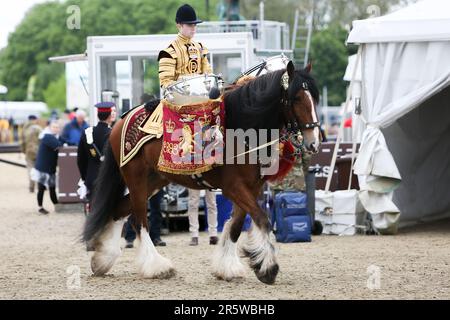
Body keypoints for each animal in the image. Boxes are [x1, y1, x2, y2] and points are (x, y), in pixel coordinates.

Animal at [81, 60, 320, 284]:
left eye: (315, 99)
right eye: (297, 98)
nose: (314, 142)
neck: (242, 128)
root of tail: (121, 120)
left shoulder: (252, 188)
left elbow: (236, 227)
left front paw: (228, 267)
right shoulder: (234, 188)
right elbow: (262, 219)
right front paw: (268, 267)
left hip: (154, 181)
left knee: (119, 210)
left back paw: (102, 259)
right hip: (136, 178)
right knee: (139, 221)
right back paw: (157, 266)